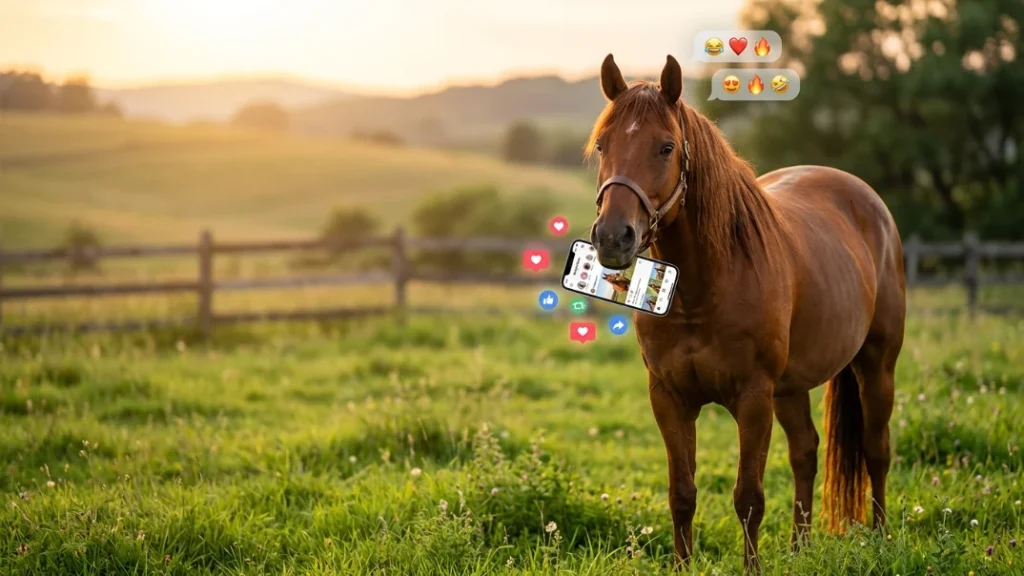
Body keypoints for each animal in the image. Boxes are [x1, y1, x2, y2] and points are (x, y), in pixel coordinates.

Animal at [588, 54, 906, 573]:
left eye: (666, 147)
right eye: (602, 145)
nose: (613, 237)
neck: (701, 291)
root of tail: (867, 200)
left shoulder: (753, 397)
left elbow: (749, 498)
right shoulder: (669, 397)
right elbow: (682, 494)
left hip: (876, 365)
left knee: (876, 450)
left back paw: (880, 539)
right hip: (791, 387)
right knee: (806, 452)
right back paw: (800, 549)